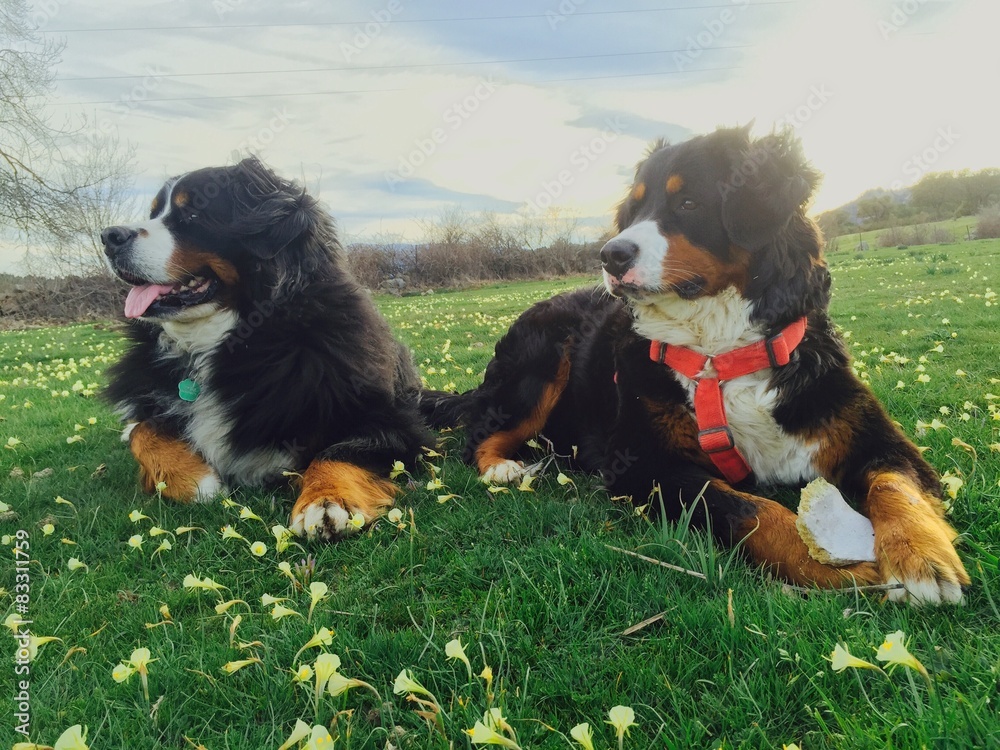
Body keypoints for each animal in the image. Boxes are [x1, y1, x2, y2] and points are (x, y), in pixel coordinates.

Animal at [102, 159, 430, 544]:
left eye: (194, 213)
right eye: (153, 213)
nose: (109, 237)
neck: (227, 341)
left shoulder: (387, 418)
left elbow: (342, 450)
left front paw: (326, 500)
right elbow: (143, 430)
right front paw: (196, 480)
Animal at [422, 125, 968, 604]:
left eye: (688, 203)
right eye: (635, 208)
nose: (609, 254)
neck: (719, 354)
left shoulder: (870, 435)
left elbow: (896, 486)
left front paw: (922, 556)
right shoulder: (644, 462)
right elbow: (747, 507)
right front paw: (835, 565)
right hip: (541, 362)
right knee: (479, 435)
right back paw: (502, 468)